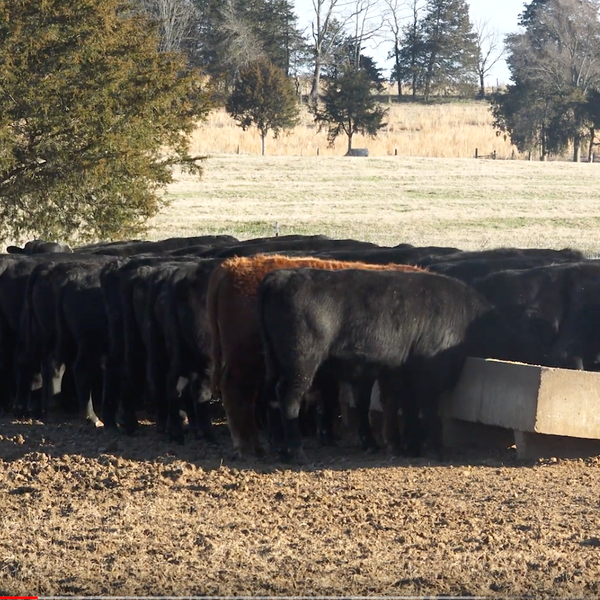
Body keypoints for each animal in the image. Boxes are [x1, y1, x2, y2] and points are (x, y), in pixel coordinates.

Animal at [209, 254, 424, 460]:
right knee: (237, 393)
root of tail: (232, 266)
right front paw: (396, 443)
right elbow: (394, 402)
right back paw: (248, 447)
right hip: (247, 360)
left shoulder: (365, 372)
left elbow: (364, 402)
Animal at [260, 268, 540, 464]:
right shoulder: (429, 372)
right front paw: (432, 449)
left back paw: (280, 448)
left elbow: (408, 406)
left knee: (270, 396)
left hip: (273, 361)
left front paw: (410, 446)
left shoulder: (403, 372)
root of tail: (280, 277)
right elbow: (426, 407)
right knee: (289, 397)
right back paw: (297, 452)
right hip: (301, 362)